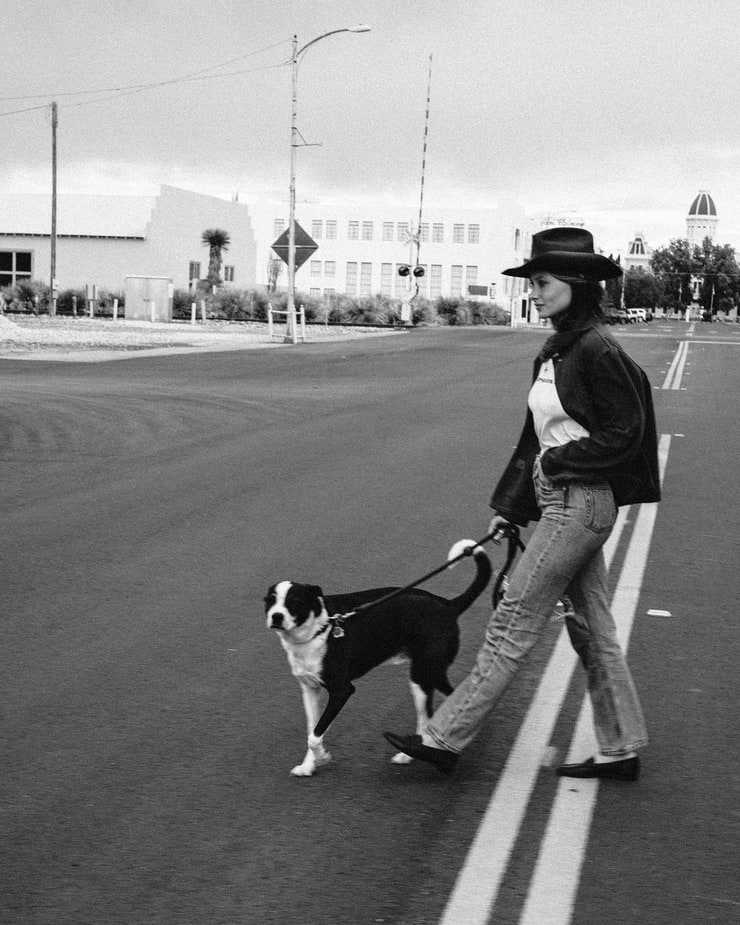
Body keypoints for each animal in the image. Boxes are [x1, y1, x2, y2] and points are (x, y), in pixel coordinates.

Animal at [266, 536, 492, 776]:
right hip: (425, 676)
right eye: (270, 600)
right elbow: (312, 730)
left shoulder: (342, 690)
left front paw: (323, 757)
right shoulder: (310, 690)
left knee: (443, 704)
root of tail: (448, 605)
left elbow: (315, 735)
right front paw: (309, 766)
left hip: (425, 673)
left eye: (295, 602)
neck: (318, 628)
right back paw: (413, 753)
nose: (276, 616)